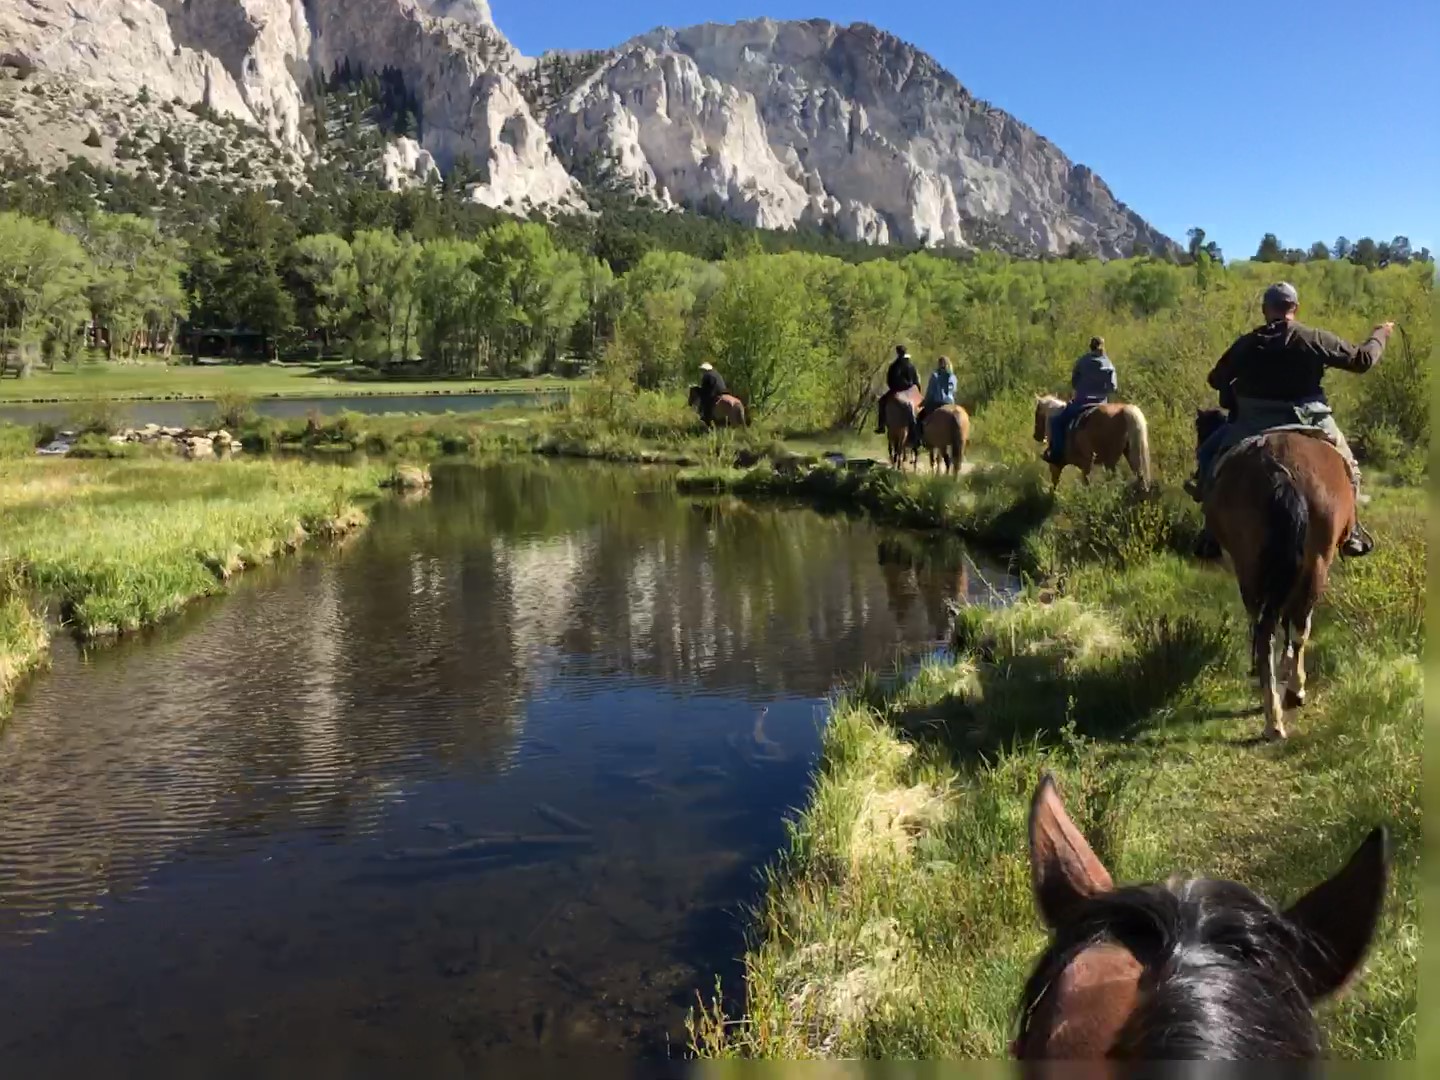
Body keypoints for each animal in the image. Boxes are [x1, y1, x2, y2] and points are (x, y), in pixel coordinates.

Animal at [1198, 408, 1353, 743]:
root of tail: (1279, 469)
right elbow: (1293, 624)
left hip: (1251, 567)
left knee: (1264, 629)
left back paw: (1272, 713)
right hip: (1315, 564)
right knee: (1297, 626)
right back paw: (1291, 696)